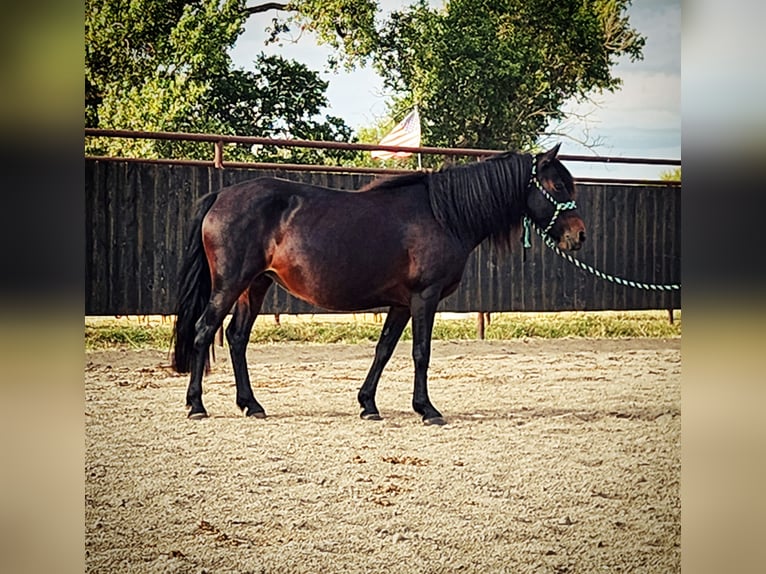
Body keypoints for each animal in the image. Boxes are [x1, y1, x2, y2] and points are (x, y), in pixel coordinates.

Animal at [171, 144, 584, 426]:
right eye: (558, 185)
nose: (578, 236)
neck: (443, 215)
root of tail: (220, 196)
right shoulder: (424, 298)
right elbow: (421, 353)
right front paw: (427, 409)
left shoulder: (401, 304)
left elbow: (383, 350)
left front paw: (368, 404)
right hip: (229, 285)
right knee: (204, 331)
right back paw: (197, 405)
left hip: (254, 286)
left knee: (236, 338)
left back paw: (251, 405)